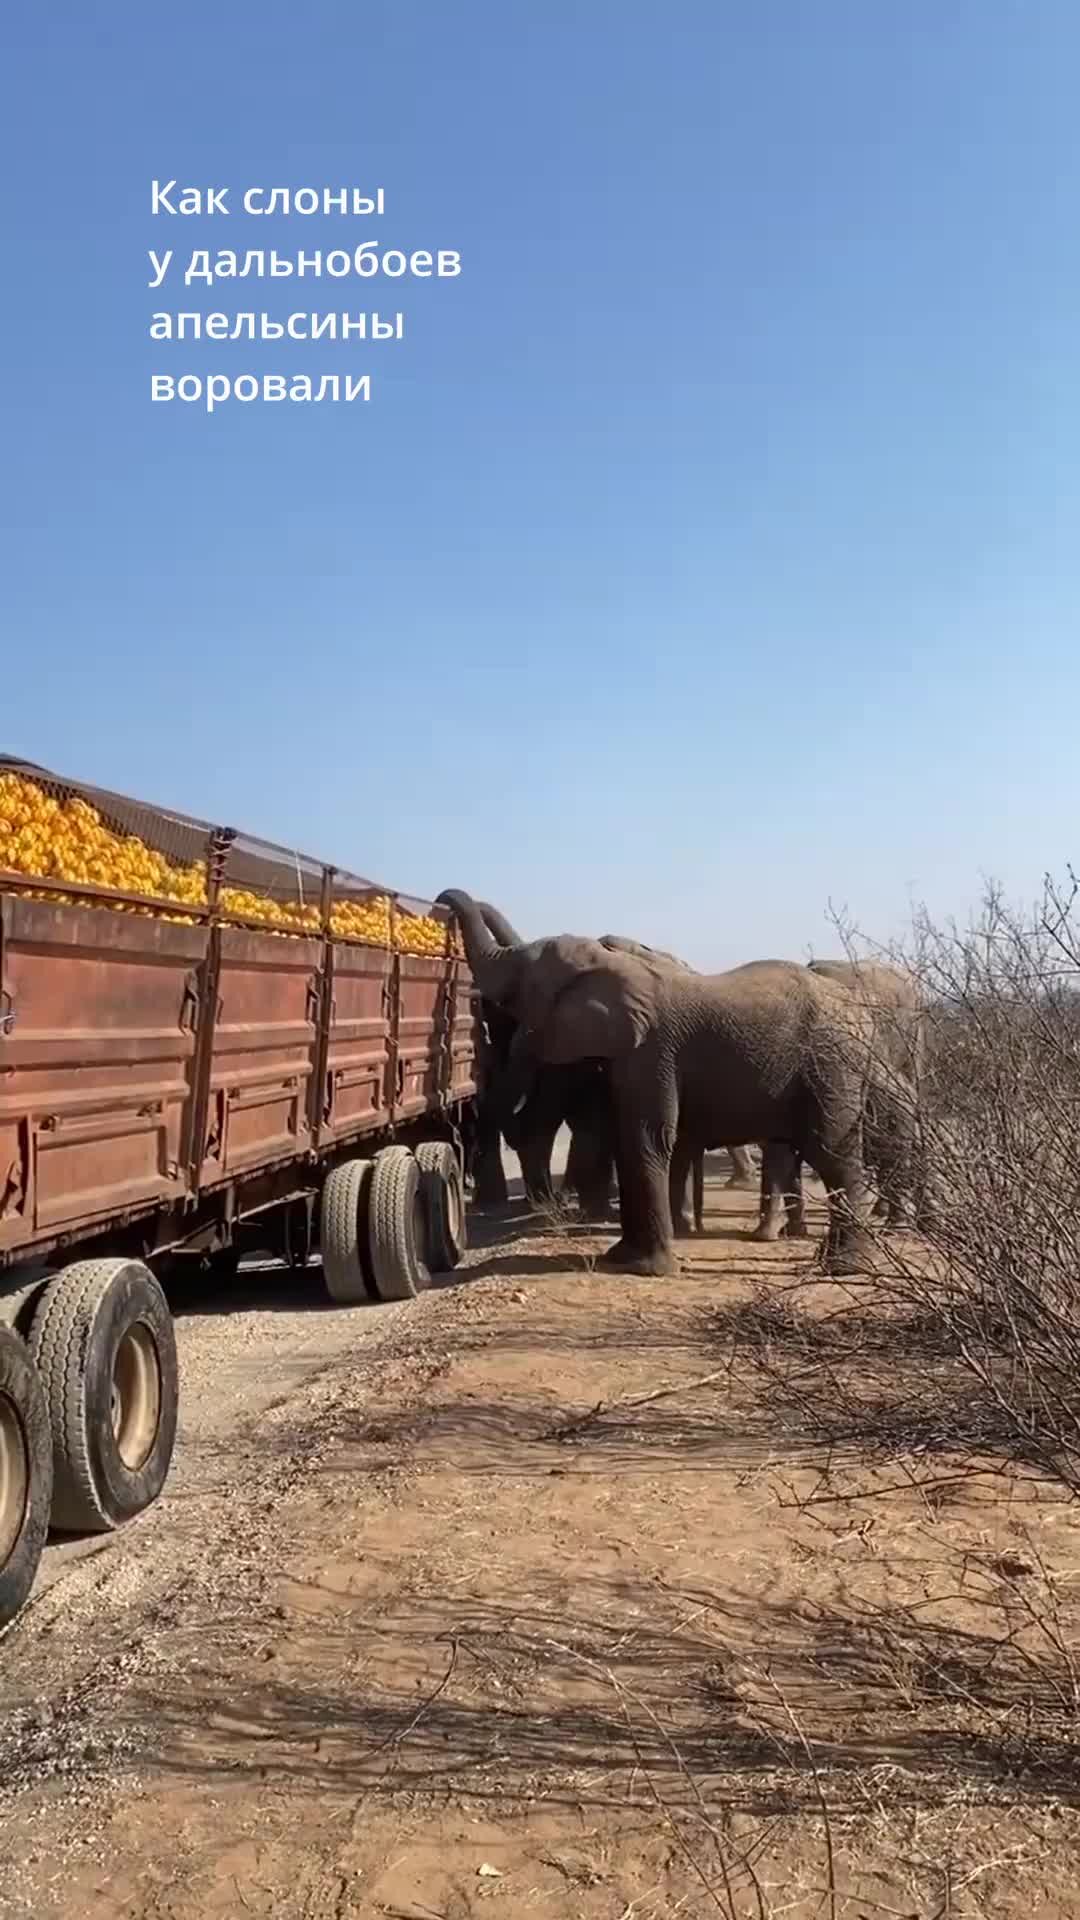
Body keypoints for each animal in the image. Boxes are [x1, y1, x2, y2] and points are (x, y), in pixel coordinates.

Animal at [432, 894, 903, 1274]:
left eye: (521, 981)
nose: (442, 900)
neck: (617, 965)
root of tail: (861, 1016)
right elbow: (628, 1139)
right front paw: (621, 1258)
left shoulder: (652, 1051)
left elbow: (648, 1137)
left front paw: (648, 1269)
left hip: (830, 1067)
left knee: (832, 1150)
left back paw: (846, 1266)